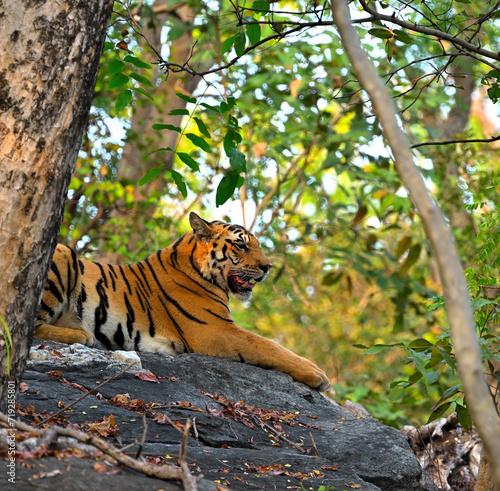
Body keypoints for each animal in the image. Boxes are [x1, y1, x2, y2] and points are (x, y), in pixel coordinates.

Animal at [36, 212, 332, 392]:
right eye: (241, 245)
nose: (268, 267)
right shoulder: (216, 330)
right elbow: (267, 345)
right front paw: (318, 374)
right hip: (63, 254)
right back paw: (81, 335)